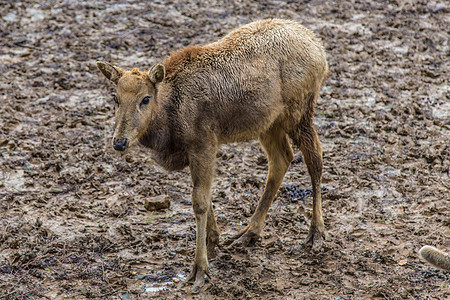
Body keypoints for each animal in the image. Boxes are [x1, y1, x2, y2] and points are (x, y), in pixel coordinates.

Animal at [96, 18, 328, 288]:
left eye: (145, 99)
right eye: (115, 97)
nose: (119, 142)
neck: (170, 116)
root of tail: (318, 46)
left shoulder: (204, 143)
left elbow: (199, 202)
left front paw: (199, 268)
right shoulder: (193, 151)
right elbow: (205, 197)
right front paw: (213, 242)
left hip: (299, 111)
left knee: (315, 158)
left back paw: (316, 233)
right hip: (268, 122)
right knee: (282, 158)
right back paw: (249, 232)